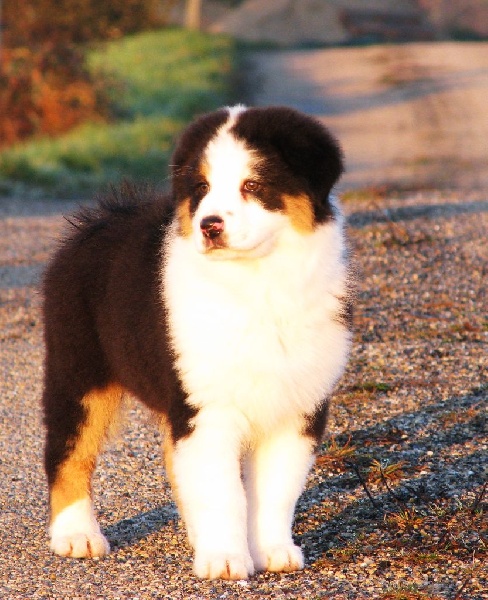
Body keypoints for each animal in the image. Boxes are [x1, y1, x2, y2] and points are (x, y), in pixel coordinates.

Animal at [42, 105, 353, 580]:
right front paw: (225, 561)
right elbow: (223, 492)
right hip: (79, 368)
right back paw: (76, 536)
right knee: (68, 450)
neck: (257, 283)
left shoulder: (298, 405)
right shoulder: (207, 406)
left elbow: (275, 489)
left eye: (253, 185)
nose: (209, 226)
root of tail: (94, 222)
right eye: (202, 188)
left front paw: (273, 552)